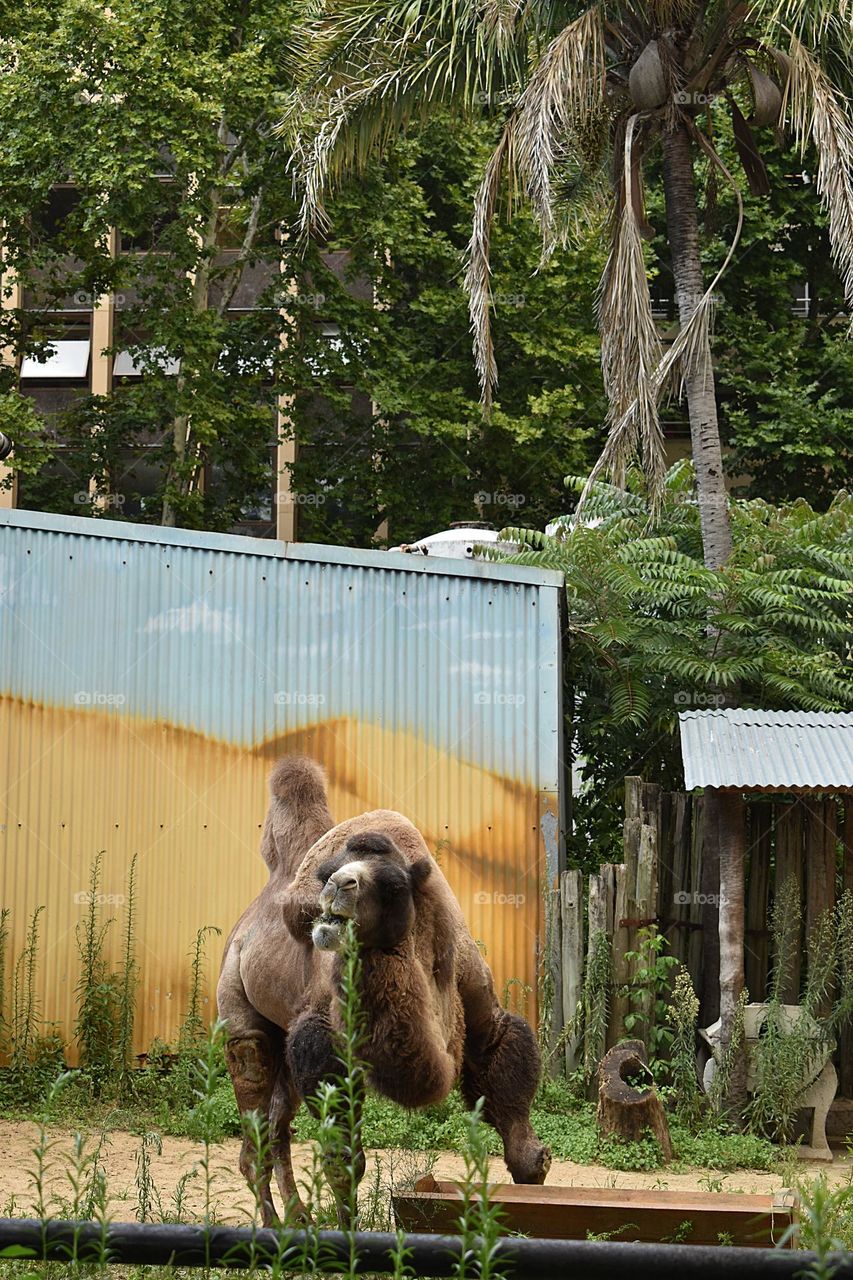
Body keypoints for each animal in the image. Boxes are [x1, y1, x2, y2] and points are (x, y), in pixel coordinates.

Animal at [217, 756, 551, 1225]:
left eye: (394, 886)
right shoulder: (326, 1038)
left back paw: (298, 1220)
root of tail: (242, 929)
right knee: (254, 1105)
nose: (337, 885)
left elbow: (505, 1078)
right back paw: (275, 1227)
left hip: (281, 1033)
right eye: (326, 874)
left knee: (279, 1129)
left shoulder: (480, 1009)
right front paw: (347, 1233)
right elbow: (344, 1162)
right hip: (239, 1005)